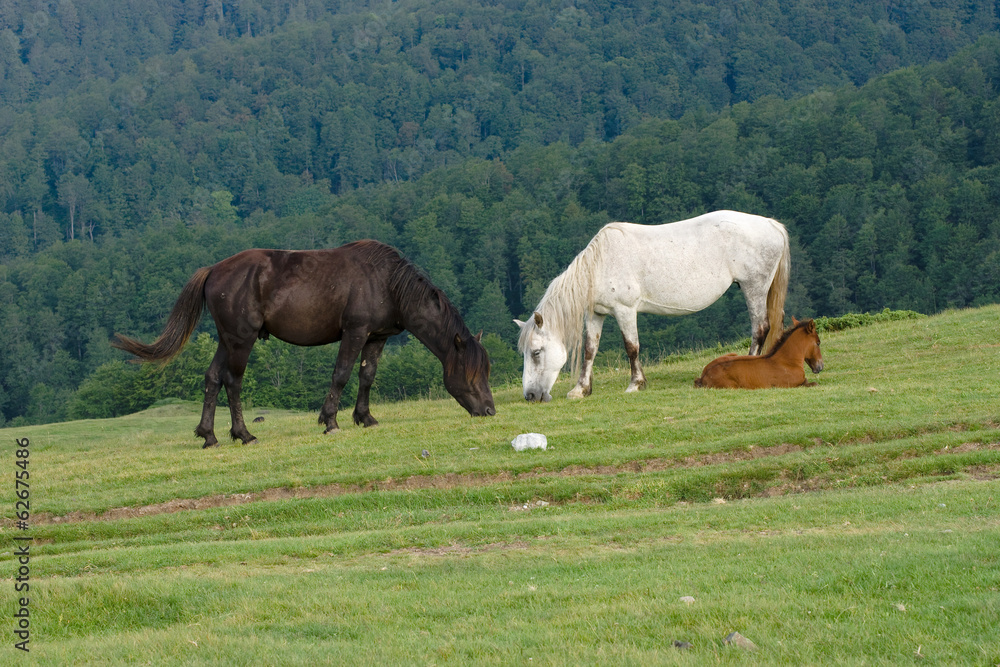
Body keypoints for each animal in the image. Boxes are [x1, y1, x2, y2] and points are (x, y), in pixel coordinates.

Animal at [113, 240, 496, 448]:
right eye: (472, 374)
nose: (490, 410)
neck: (386, 281)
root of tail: (214, 270)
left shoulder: (376, 338)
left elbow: (367, 376)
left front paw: (365, 417)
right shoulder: (354, 332)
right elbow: (341, 374)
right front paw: (330, 421)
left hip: (226, 340)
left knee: (212, 378)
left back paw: (209, 435)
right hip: (241, 340)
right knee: (232, 382)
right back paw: (243, 433)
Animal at [516, 211, 788, 402]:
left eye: (536, 352)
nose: (530, 396)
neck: (600, 264)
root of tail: (772, 224)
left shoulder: (625, 311)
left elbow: (631, 347)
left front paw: (636, 384)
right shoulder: (596, 314)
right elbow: (590, 351)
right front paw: (581, 389)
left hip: (754, 288)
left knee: (759, 329)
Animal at [692, 320, 824, 392]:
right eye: (818, 343)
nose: (820, 366)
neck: (786, 362)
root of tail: (703, 376)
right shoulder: (789, 385)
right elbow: (812, 384)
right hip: (731, 387)